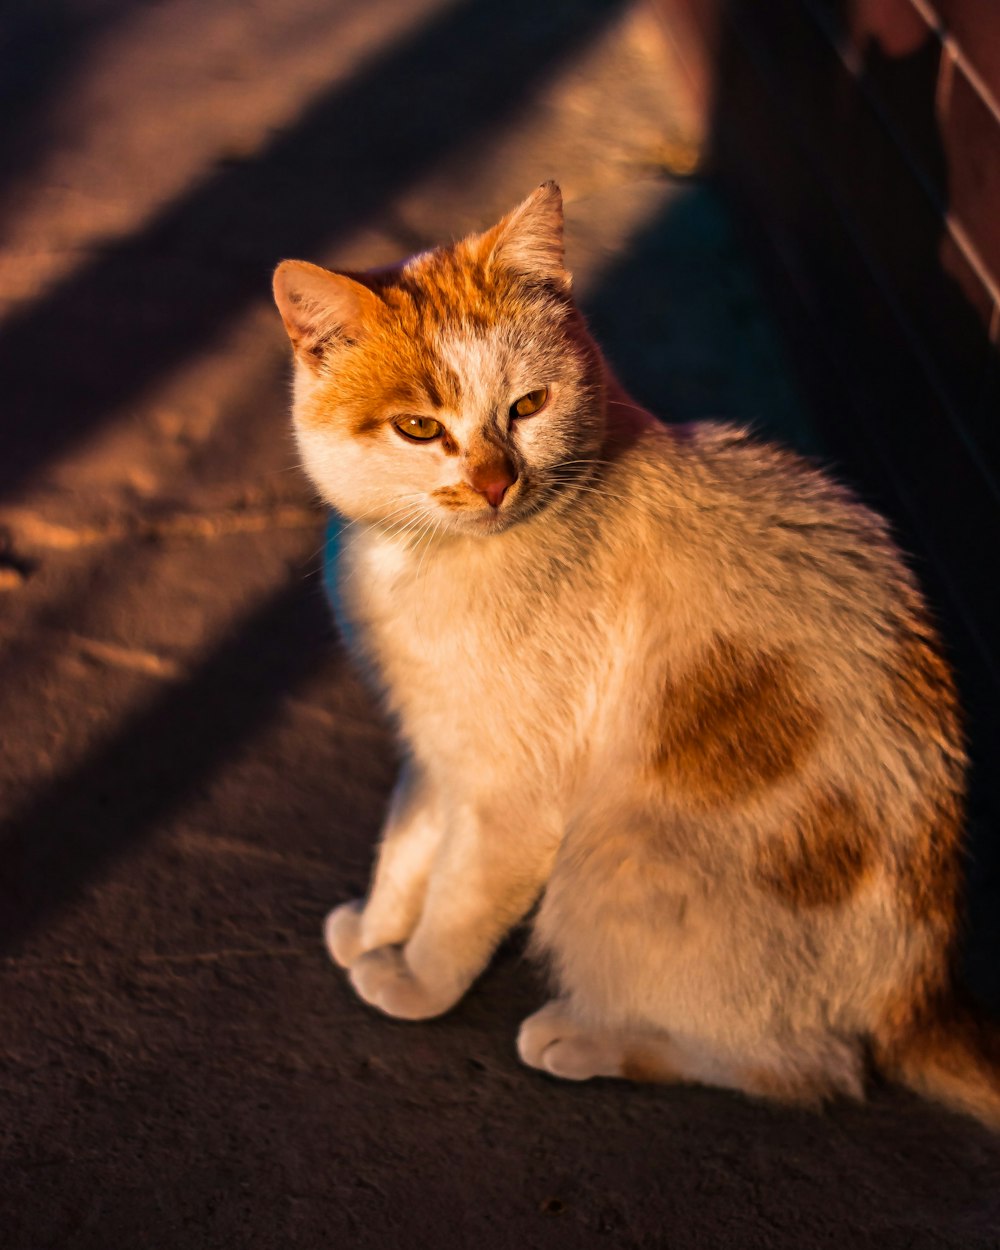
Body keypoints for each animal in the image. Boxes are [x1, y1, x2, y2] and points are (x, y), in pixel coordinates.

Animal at [273, 182, 1000, 1125]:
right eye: (418, 427)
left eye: (527, 408)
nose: (495, 481)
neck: (425, 562)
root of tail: (921, 995)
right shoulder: (436, 743)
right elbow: (407, 844)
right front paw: (373, 928)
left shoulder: (514, 793)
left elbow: (459, 899)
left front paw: (415, 981)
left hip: (612, 858)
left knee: (813, 1071)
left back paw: (585, 1039)